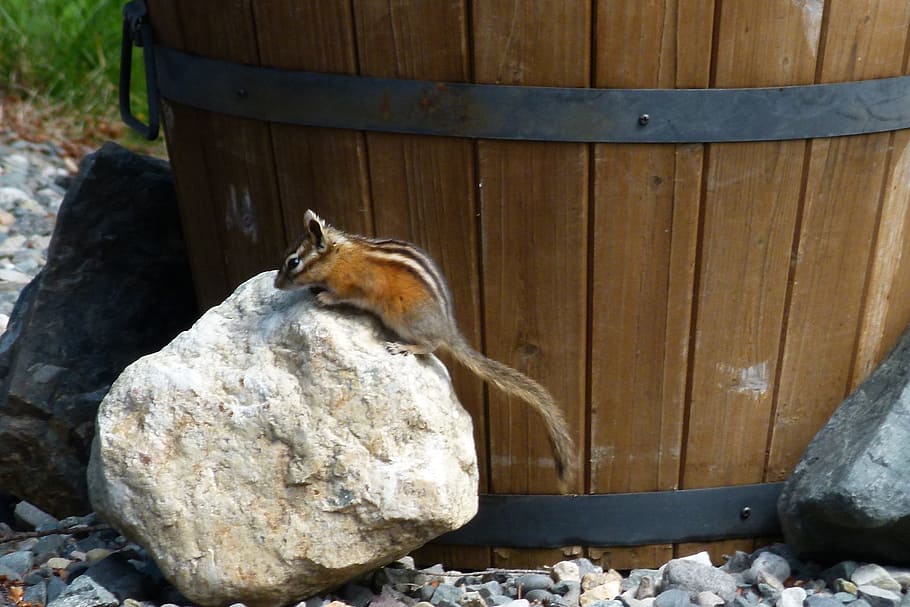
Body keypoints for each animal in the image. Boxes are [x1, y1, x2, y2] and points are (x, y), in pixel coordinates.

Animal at [274, 209, 575, 486]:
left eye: (294, 262)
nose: (276, 284)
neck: (339, 256)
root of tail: (447, 328)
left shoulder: (356, 285)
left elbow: (344, 296)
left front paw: (325, 297)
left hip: (405, 317)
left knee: (431, 345)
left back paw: (406, 348)